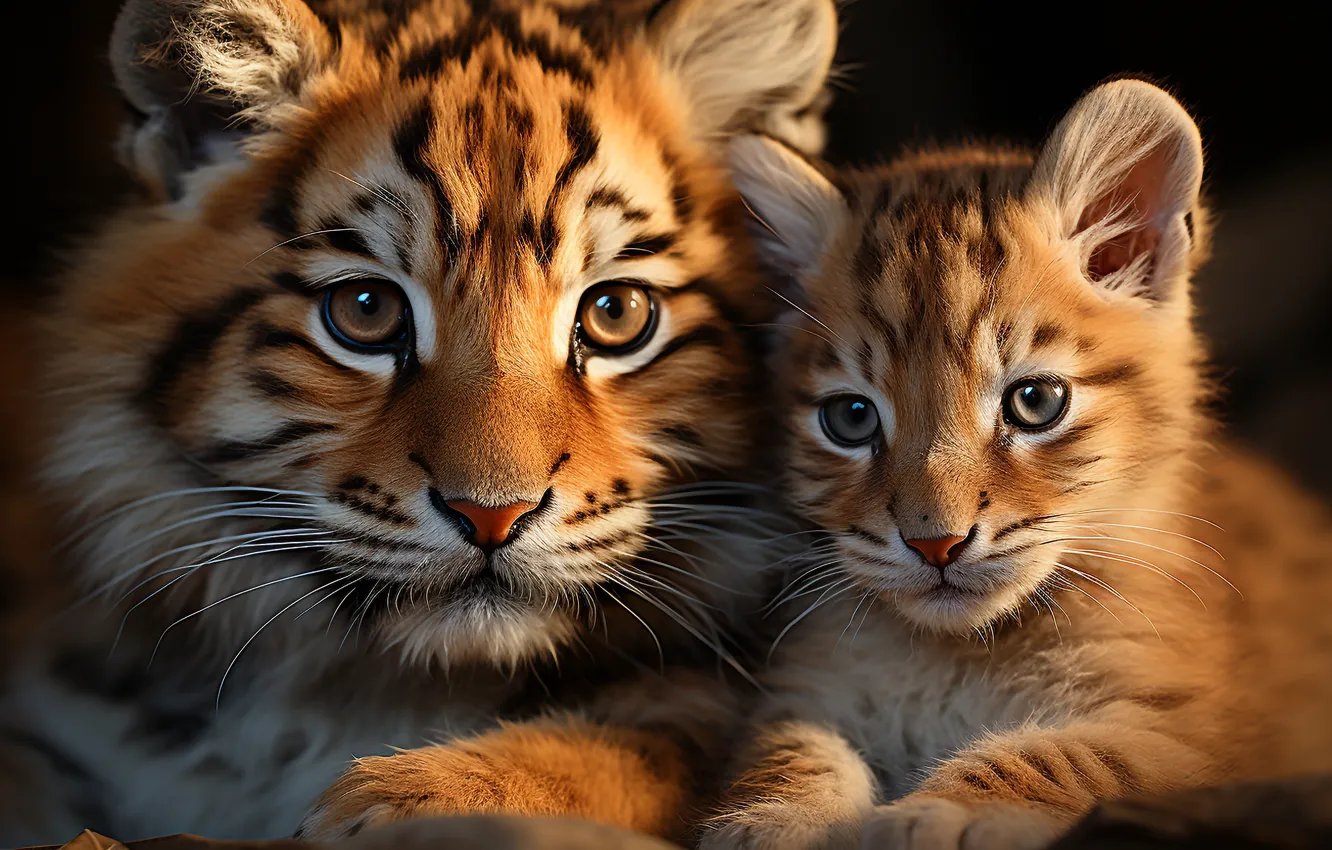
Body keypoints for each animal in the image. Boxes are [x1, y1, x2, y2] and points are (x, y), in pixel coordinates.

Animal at [695, 80, 1332, 849]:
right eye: (850, 419)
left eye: (1035, 403)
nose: (935, 544)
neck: (964, 650)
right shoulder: (802, 692)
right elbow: (792, 751)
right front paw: (774, 821)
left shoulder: (1190, 733)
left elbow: (1055, 757)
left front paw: (933, 815)